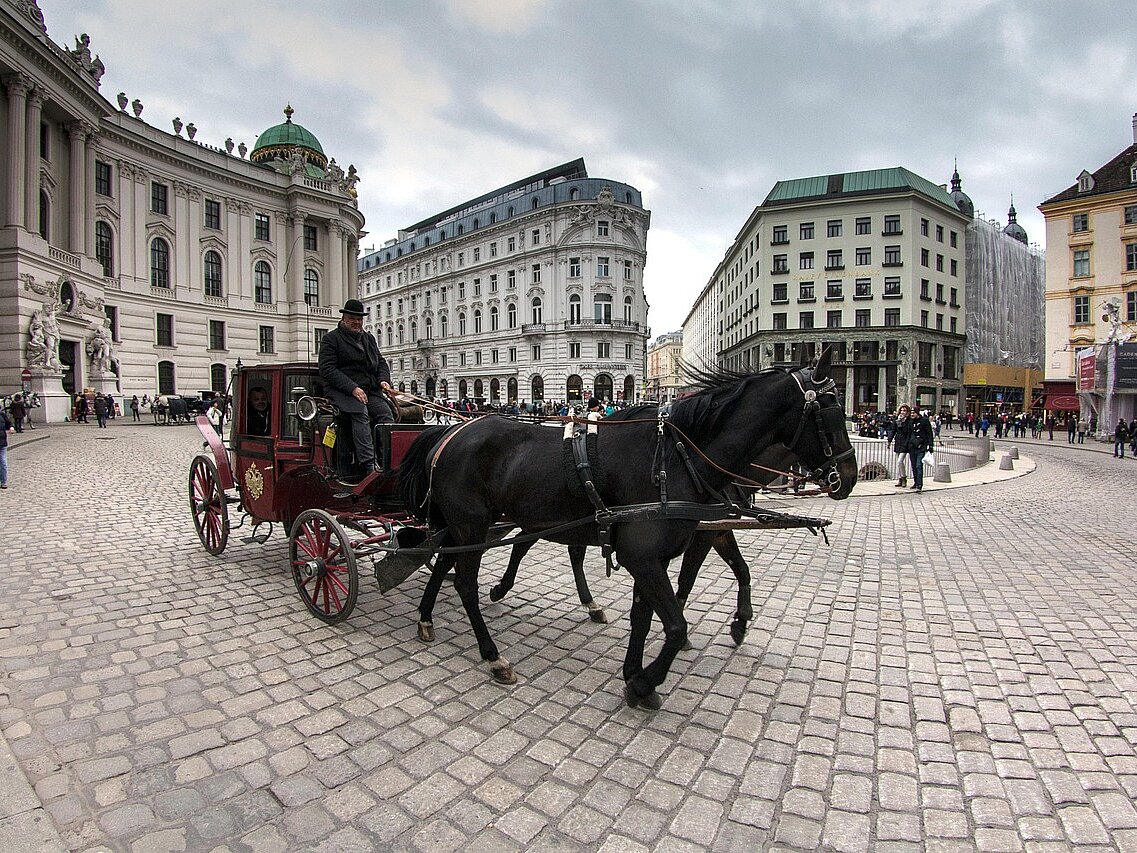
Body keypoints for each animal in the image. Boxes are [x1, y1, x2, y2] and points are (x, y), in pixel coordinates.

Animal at [397, 349, 857, 709]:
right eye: (831, 410)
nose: (849, 477)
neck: (674, 459)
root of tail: (451, 431)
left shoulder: (655, 556)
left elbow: (645, 615)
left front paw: (634, 671)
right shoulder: (648, 556)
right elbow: (674, 623)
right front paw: (646, 681)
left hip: (464, 526)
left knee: (445, 563)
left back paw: (426, 617)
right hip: (472, 525)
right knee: (465, 584)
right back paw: (493, 655)